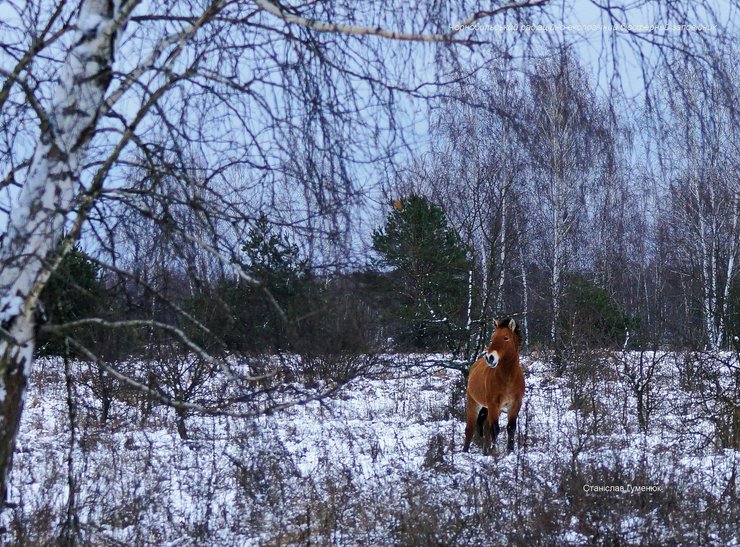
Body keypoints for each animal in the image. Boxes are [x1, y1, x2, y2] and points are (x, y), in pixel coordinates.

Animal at [463, 318, 525, 454]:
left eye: (506, 338)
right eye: (493, 337)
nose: (490, 357)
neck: (508, 378)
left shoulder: (515, 404)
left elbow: (511, 428)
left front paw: (510, 452)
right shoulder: (493, 404)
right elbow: (495, 429)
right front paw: (494, 452)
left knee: (485, 426)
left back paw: (485, 451)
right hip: (474, 403)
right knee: (470, 428)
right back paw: (465, 451)